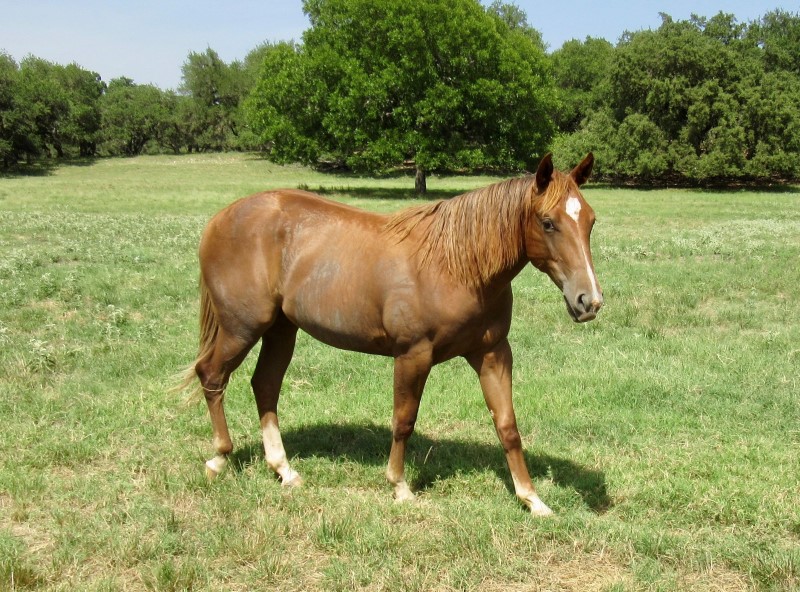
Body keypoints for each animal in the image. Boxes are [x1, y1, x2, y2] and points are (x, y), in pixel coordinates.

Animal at [181, 154, 604, 520]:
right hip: (241, 328)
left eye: (590, 221)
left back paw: (284, 470)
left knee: (265, 385)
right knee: (212, 375)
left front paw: (532, 498)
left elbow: (507, 425)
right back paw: (219, 458)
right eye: (547, 222)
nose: (589, 301)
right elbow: (404, 420)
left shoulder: (493, 353)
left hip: (281, 329)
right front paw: (400, 487)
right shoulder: (413, 356)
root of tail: (220, 219)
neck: (457, 266)